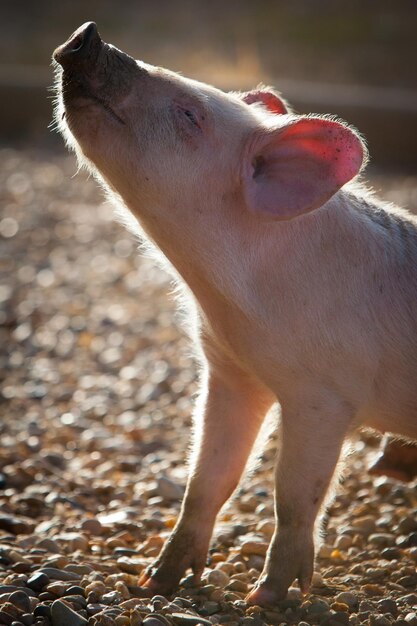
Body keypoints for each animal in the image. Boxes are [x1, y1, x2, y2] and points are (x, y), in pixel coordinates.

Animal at [52, 24, 416, 604]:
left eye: (190, 115)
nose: (89, 33)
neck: (227, 302)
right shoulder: (229, 372)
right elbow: (207, 479)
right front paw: (155, 582)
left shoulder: (326, 393)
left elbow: (294, 494)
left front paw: (265, 600)